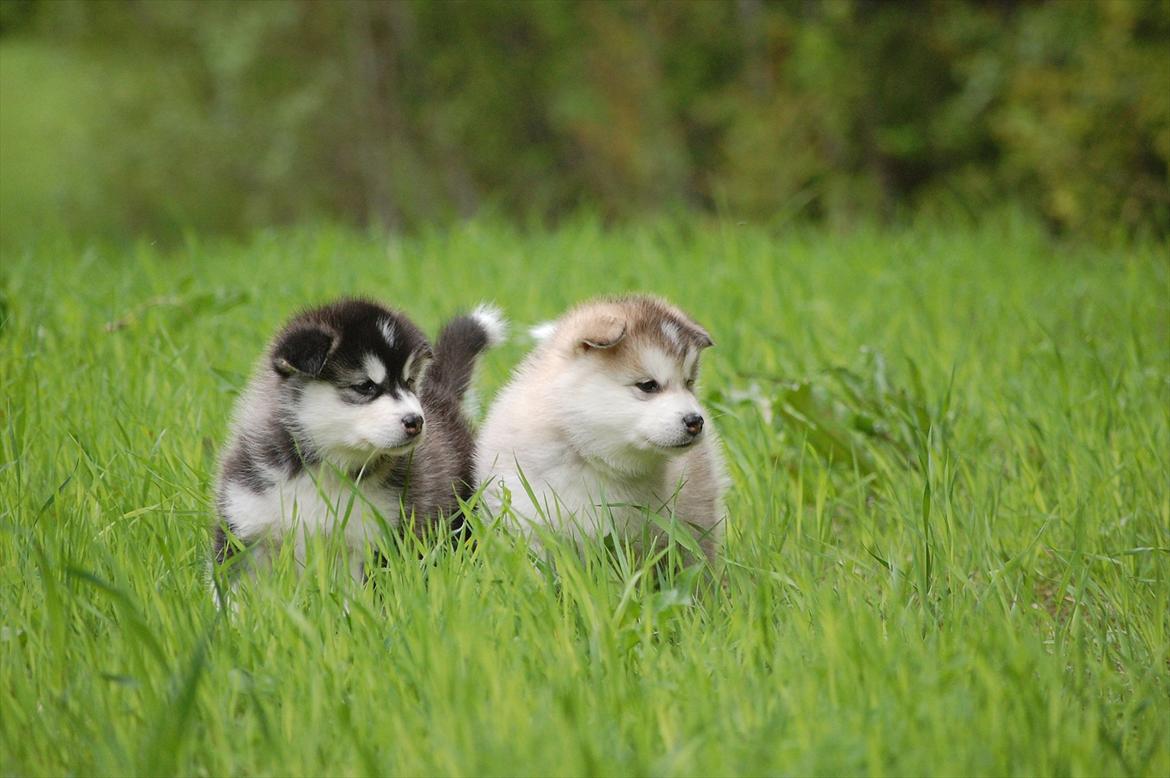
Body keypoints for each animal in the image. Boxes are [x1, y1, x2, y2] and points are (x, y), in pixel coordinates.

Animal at [214, 297, 503, 589]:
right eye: (365, 386)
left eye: (409, 381)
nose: (416, 421)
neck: (324, 471)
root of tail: (441, 393)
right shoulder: (244, 526)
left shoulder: (375, 539)